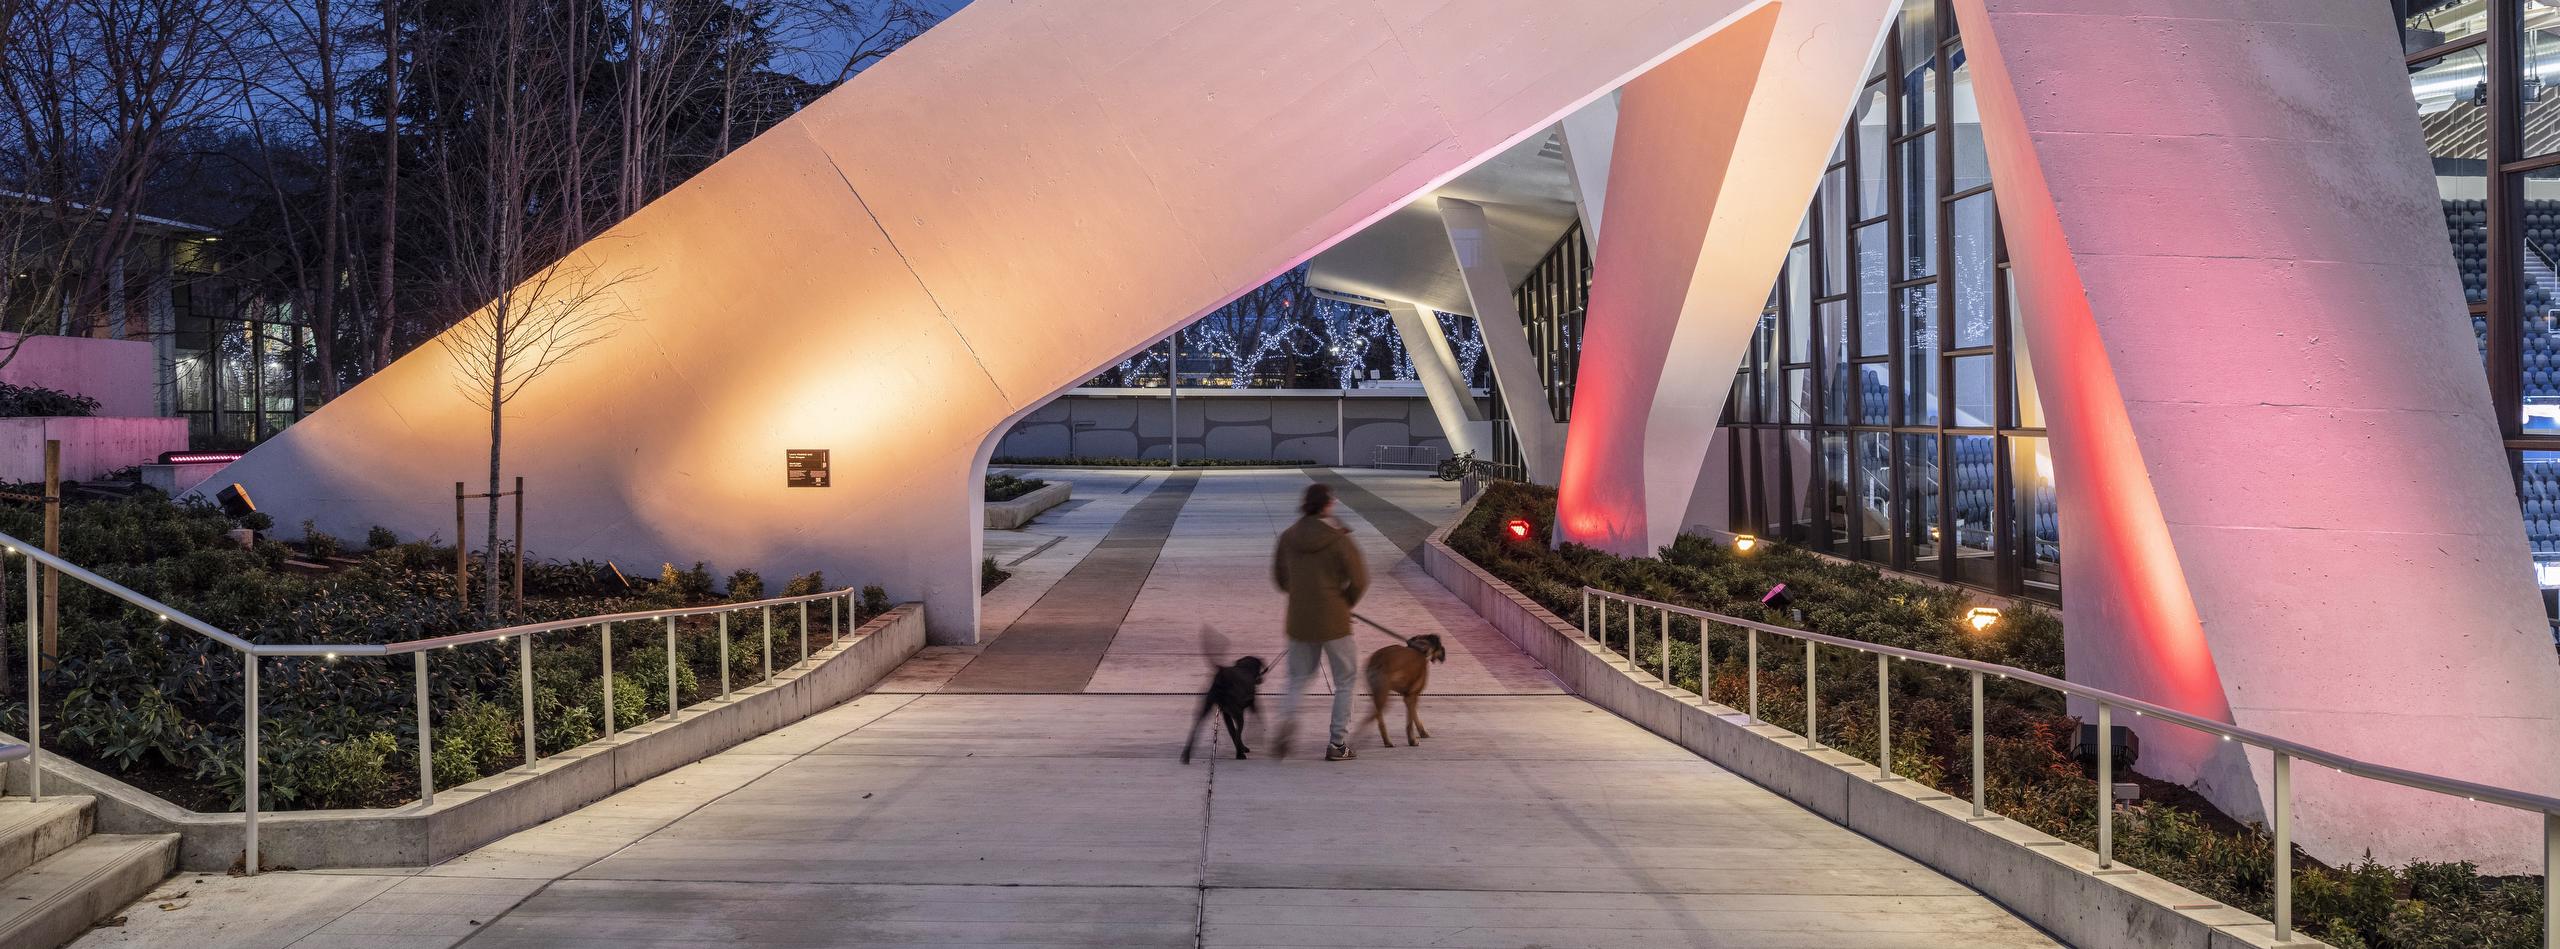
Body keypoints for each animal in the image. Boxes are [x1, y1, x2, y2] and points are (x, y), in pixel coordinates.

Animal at [1172, 631, 1264, 767]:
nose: (1261, 679)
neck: (1245, 668)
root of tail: (1222, 672)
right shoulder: (1243, 709)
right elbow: (1238, 732)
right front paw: (1241, 750)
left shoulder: (1227, 714)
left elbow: (1233, 732)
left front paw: (1241, 748)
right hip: (1237, 713)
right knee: (1239, 728)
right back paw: (1240, 754)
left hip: (1206, 707)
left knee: (1196, 726)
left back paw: (1186, 756)